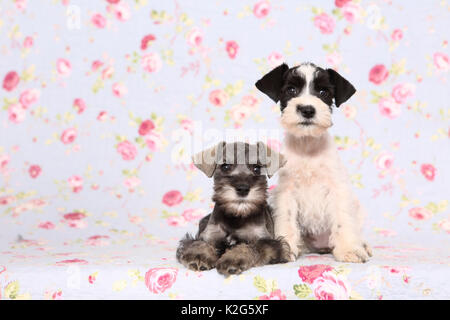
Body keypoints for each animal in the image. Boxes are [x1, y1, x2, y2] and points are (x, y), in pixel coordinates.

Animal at [176, 141, 288, 276]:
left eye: (256, 168)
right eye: (225, 166)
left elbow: (249, 247)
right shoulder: (208, 235)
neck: (236, 216)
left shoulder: (267, 242)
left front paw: (233, 259)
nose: (243, 188)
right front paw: (199, 255)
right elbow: (200, 243)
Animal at [255, 62, 374, 262]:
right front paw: (286, 249)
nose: (307, 110)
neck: (307, 146)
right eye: (291, 89)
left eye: (323, 92)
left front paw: (349, 250)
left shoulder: (337, 189)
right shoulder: (286, 192)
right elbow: (287, 220)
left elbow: (342, 221)